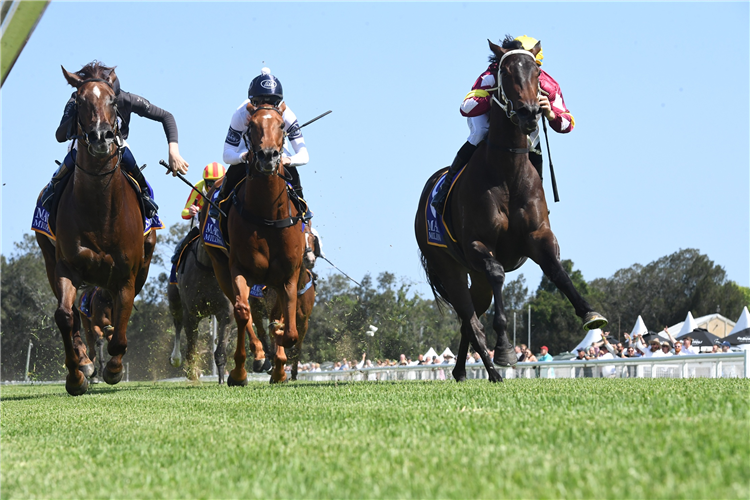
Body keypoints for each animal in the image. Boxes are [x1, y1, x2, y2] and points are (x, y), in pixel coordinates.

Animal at [37, 65, 158, 394]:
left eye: (113, 101)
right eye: (78, 100)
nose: (101, 136)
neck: (100, 209)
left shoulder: (127, 275)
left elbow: (119, 327)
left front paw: (114, 369)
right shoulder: (66, 266)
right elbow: (66, 316)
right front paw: (77, 374)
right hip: (49, 258)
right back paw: (85, 363)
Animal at [203, 101, 308, 382]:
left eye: (282, 125)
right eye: (251, 126)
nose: (268, 156)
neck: (267, 216)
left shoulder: (289, 274)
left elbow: (287, 327)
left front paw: (280, 362)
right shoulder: (239, 268)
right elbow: (242, 312)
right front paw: (240, 371)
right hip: (221, 269)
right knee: (243, 310)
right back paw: (259, 356)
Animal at [414, 39, 608, 382]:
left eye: (537, 72)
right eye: (504, 72)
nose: (529, 112)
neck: (508, 173)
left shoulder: (538, 236)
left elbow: (558, 271)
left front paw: (590, 313)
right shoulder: (478, 244)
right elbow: (498, 274)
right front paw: (504, 349)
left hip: (474, 279)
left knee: (469, 320)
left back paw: (462, 371)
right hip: (449, 267)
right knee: (471, 320)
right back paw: (493, 371)